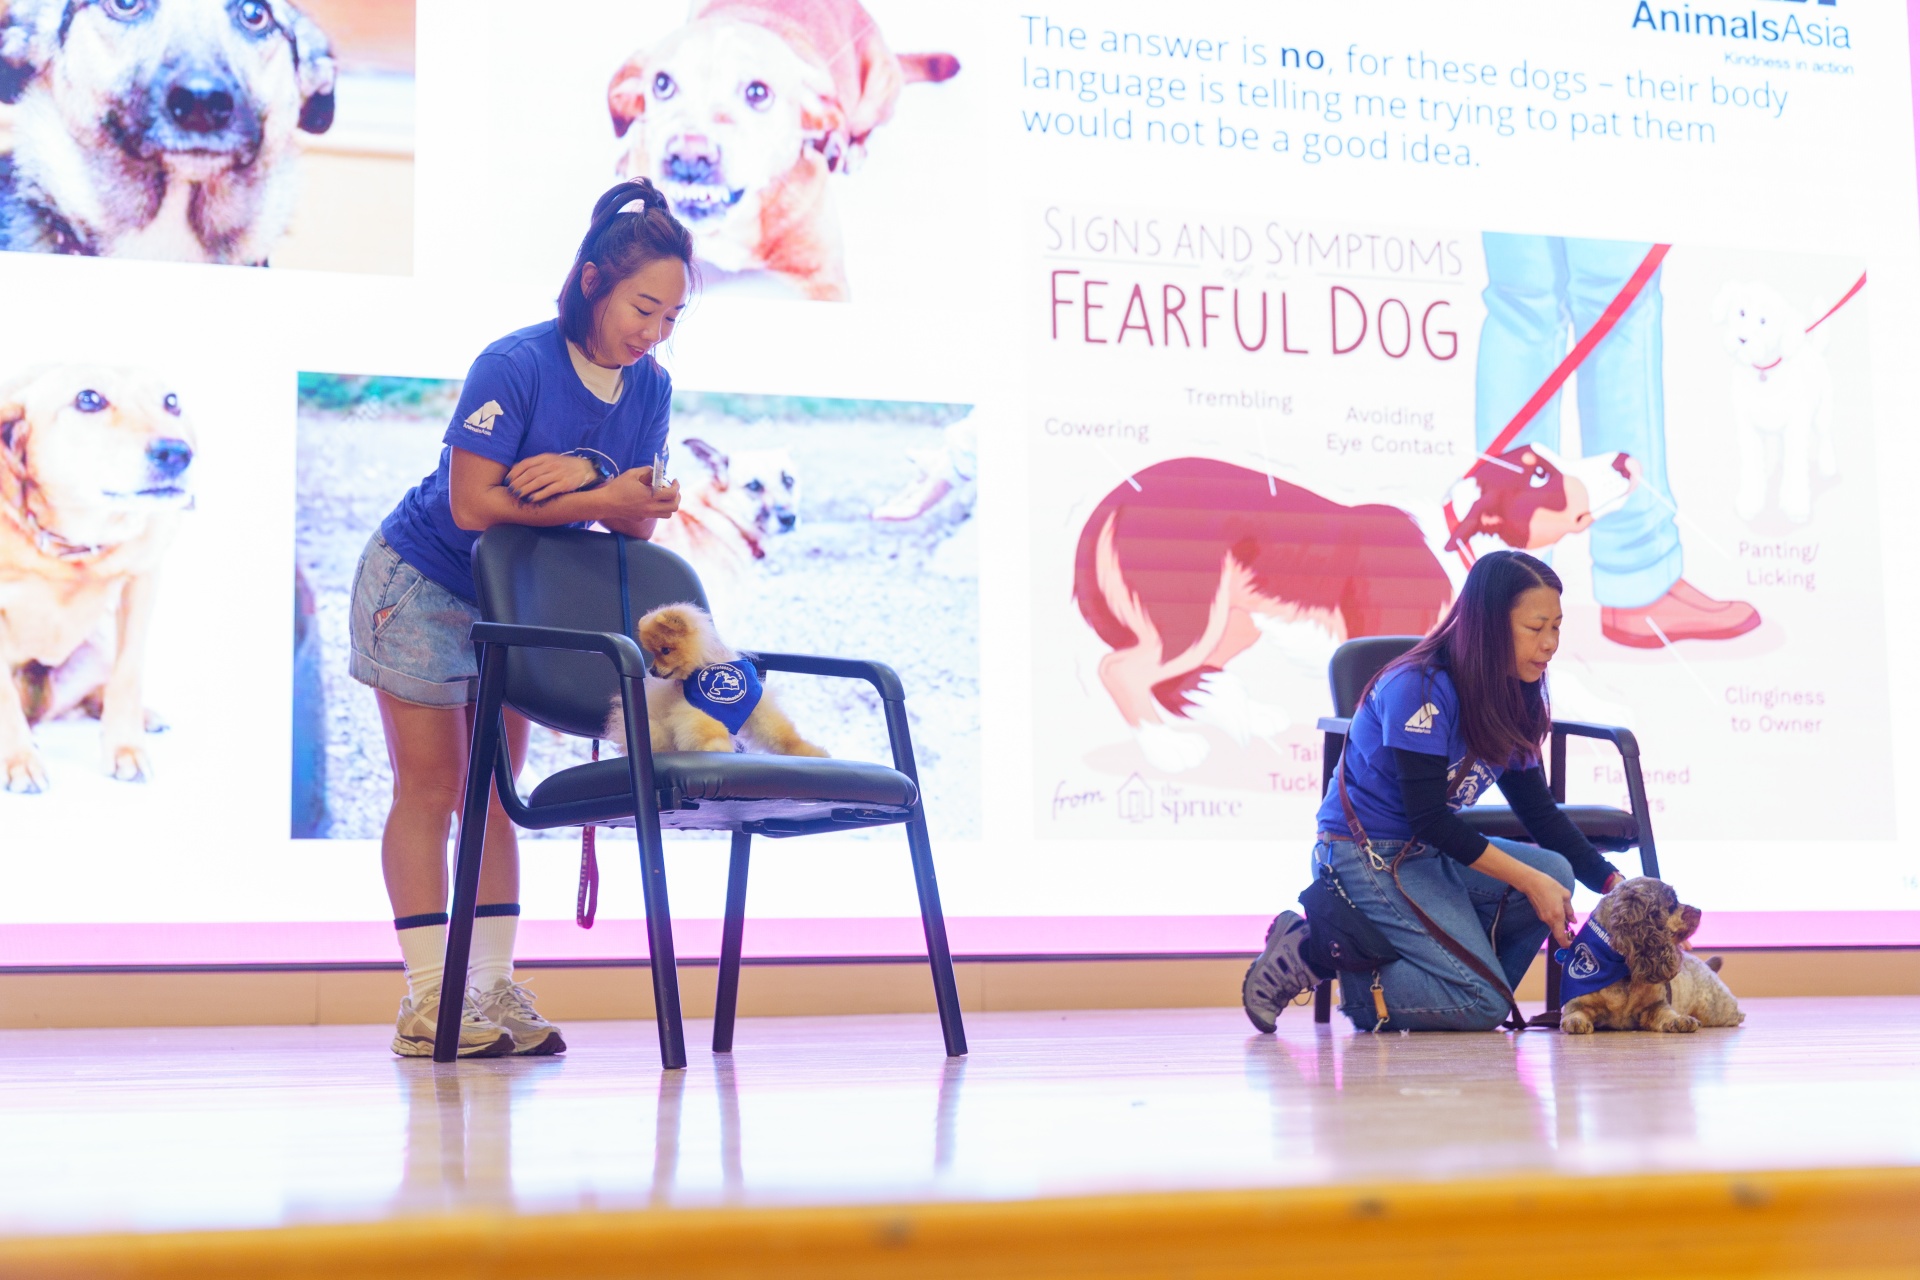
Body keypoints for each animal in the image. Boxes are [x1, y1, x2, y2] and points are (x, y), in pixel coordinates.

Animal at [1, 365, 196, 792]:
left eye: (172, 401)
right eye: (88, 399)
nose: (177, 453)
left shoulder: (142, 581)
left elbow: (128, 675)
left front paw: (126, 749)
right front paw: (17, 759)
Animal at [604, 602, 825, 757]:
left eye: (665, 651)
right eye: (653, 652)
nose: (652, 670)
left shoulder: (756, 706)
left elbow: (782, 734)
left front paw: (809, 751)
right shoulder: (697, 707)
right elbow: (709, 730)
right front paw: (718, 747)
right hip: (655, 730)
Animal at [1559, 877, 1745, 1034]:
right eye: (1672, 901)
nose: (1699, 911)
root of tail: (1706, 966)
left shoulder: (1655, 1006)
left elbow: (1668, 1014)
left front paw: (1680, 1019)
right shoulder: (1578, 1003)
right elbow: (1575, 1013)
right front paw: (1575, 1021)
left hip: (1714, 1010)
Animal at [1713, 280, 1836, 524]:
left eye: (1763, 321)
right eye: (1741, 312)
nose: (1742, 339)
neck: (1764, 374)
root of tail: (1813, 350)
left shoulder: (1796, 429)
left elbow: (1795, 468)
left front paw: (1795, 507)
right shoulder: (1748, 430)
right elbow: (1752, 467)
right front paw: (1750, 503)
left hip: (1822, 414)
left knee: (1825, 437)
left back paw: (1828, 465)